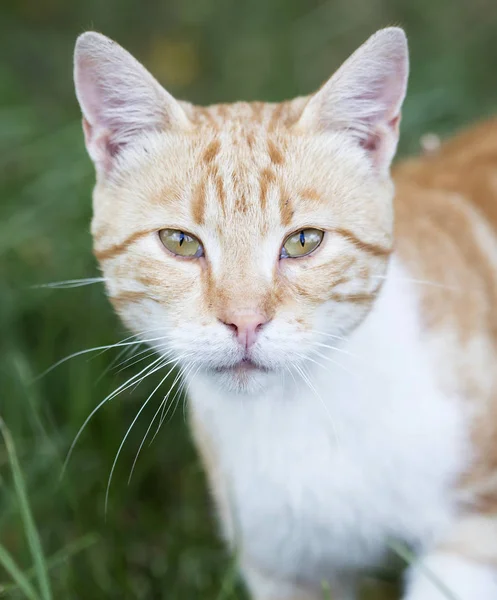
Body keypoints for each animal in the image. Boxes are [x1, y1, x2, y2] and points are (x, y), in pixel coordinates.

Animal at [72, 27, 496, 600]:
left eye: (304, 241)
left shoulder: (475, 535)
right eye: (180, 242)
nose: (245, 321)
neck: (297, 414)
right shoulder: (283, 568)